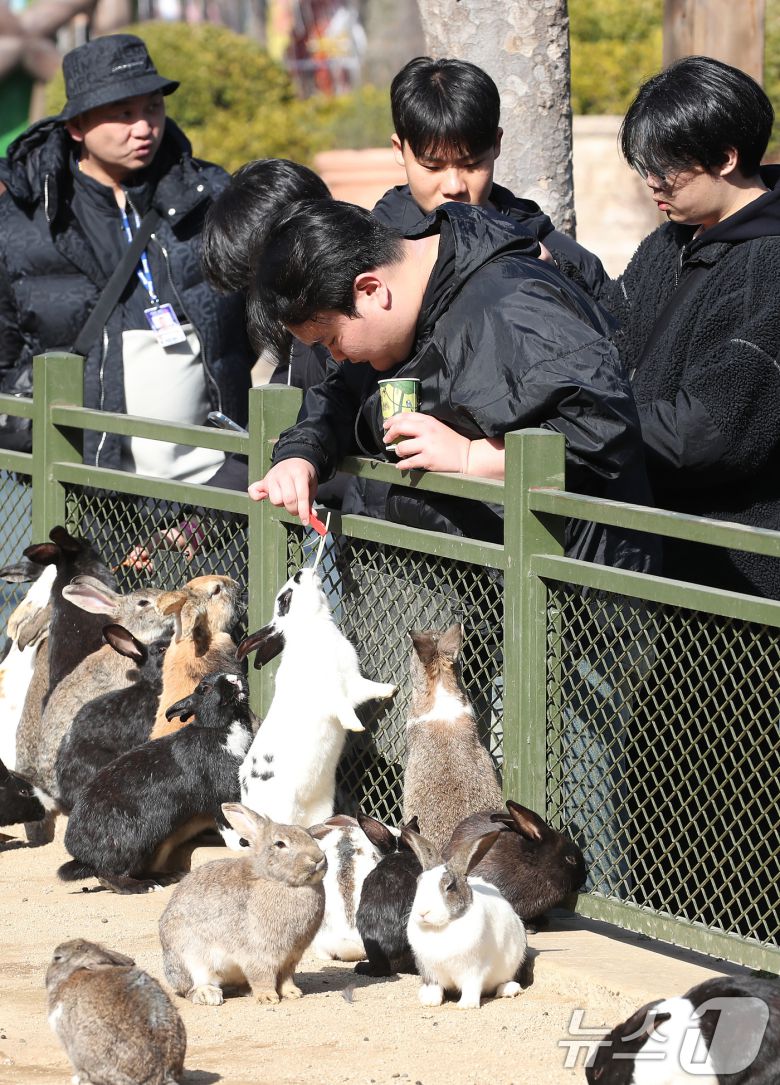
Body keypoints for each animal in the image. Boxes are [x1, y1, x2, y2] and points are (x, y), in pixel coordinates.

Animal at [57, 671, 254, 893]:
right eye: (204, 688)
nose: (234, 678)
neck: (221, 727)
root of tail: (80, 852)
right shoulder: (220, 791)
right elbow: (226, 822)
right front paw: (241, 847)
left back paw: (165, 877)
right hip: (134, 842)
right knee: (108, 875)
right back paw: (146, 886)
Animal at [159, 801, 327, 1006]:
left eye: (310, 836)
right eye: (280, 844)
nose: (319, 858)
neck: (277, 881)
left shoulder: (291, 957)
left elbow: (286, 977)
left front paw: (293, 993)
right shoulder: (258, 953)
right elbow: (262, 976)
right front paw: (268, 997)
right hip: (189, 957)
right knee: (190, 988)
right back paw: (208, 995)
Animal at [237, 567, 396, 827]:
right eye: (285, 599)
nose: (301, 572)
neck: (313, 627)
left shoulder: (354, 683)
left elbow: (369, 689)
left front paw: (391, 689)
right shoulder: (332, 691)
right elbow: (342, 708)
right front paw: (356, 726)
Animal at [403, 825, 528, 1010]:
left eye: (450, 887)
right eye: (419, 882)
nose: (423, 912)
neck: (440, 927)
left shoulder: (474, 970)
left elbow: (471, 986)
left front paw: (467, 1005)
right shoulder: (430, 972)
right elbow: (435, 987)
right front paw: (430, 1001)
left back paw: (508, 990)